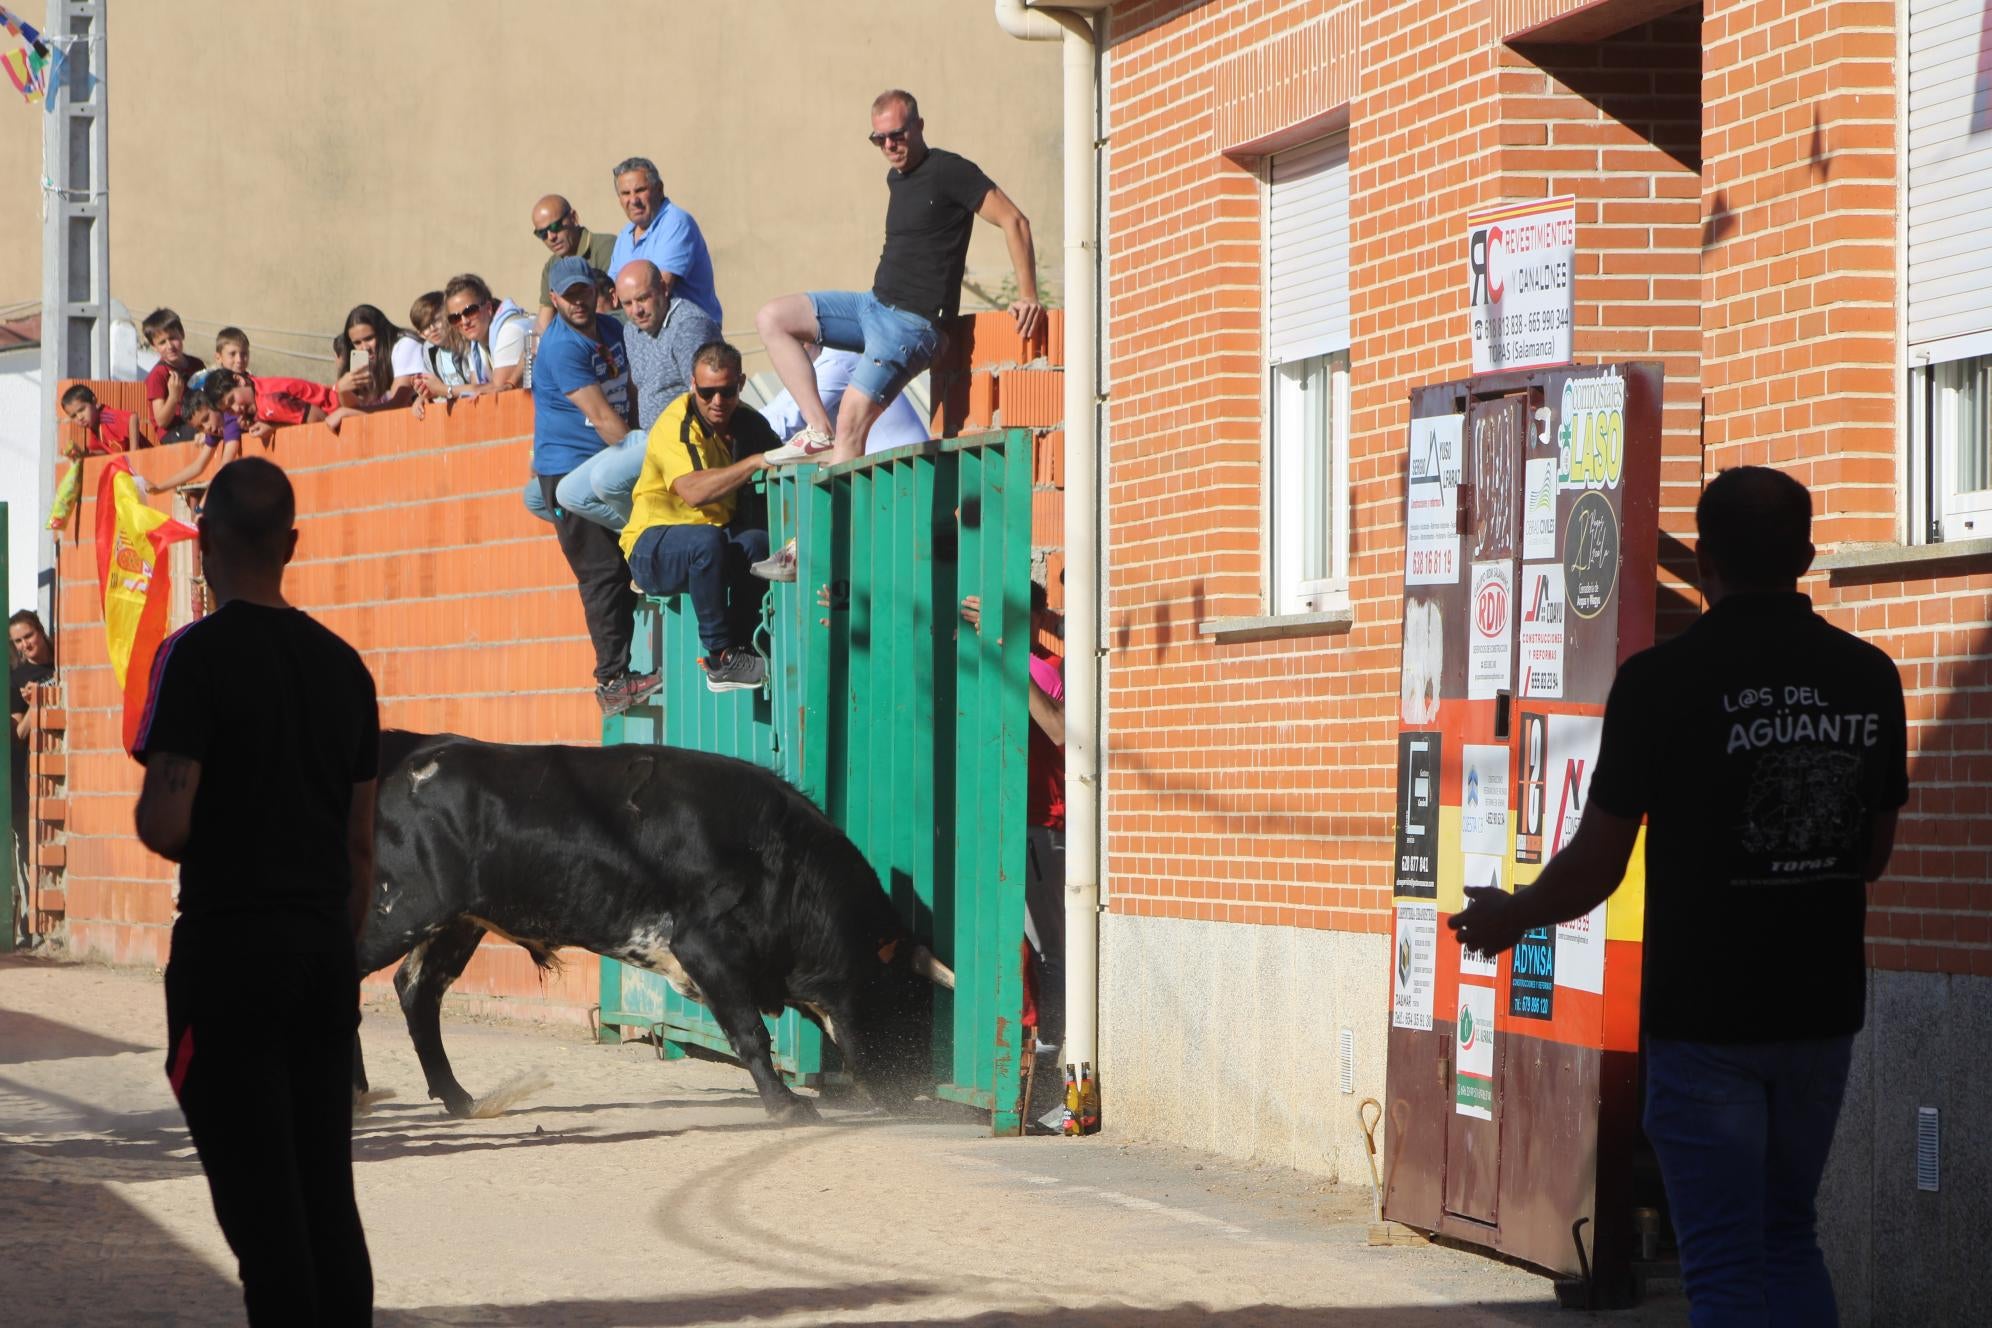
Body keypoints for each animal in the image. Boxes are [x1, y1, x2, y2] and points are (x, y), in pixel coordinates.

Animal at [354, 732, 952, 1130]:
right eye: (900, 997)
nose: (913, 1090)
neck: (779, 862)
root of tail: (411, 750)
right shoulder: (705, 947)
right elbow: (749, 1032)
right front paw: (786, 1106)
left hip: (454, 922)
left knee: (417, 991)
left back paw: (456, 1098)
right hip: (397, 910)